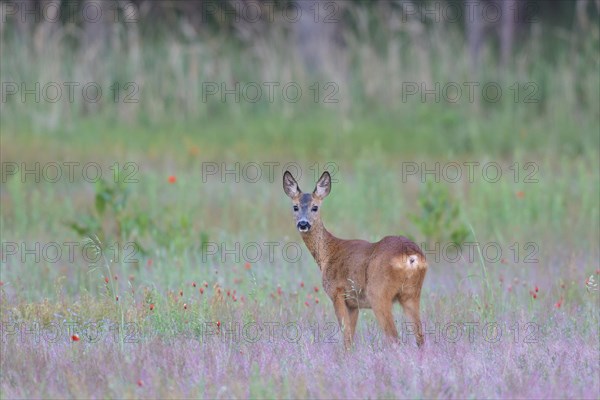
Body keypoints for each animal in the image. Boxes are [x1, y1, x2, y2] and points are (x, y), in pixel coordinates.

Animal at [282, 170, 426, 348]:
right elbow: (351, 337)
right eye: (295, 206)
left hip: (378, 293)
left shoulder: (337, 293)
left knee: (394, 337)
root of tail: (411, 256)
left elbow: (346, 338)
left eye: (315, 207)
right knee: (420, 338)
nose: (303, 224)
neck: (327, 254)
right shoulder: (354, 304)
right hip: (412, 294)